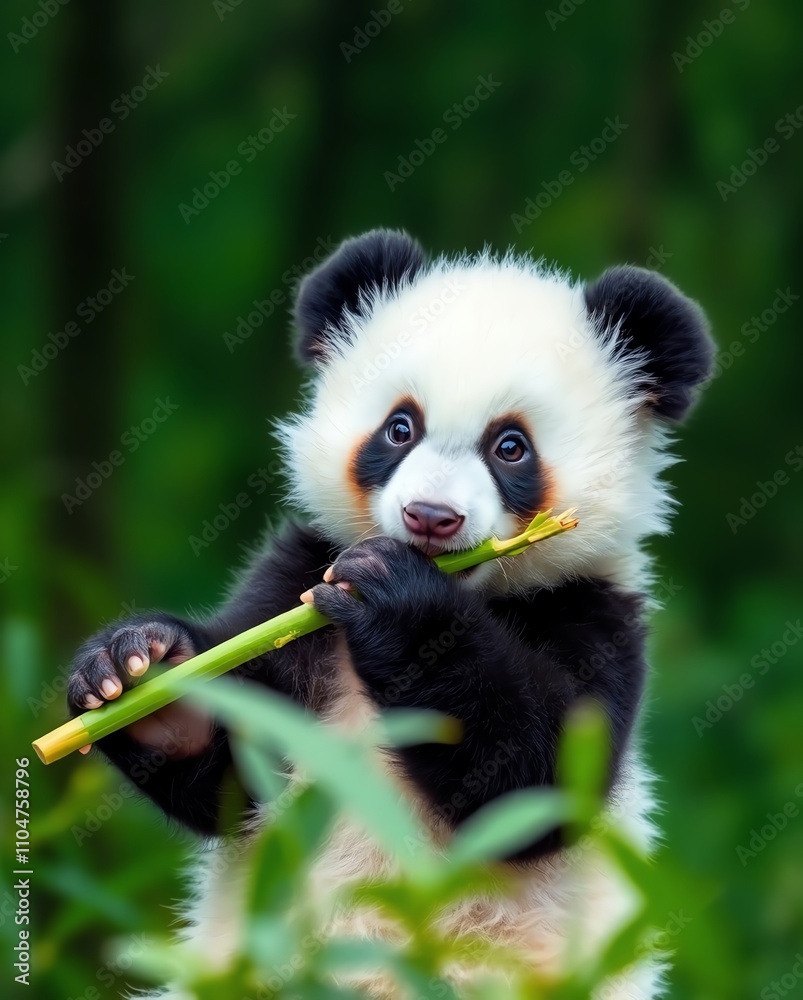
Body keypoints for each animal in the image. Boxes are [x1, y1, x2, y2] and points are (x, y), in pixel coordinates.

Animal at [67, 229, 714, 1000]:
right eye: (400, 427)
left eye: (510, 446)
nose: (430, 517)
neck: (473, 590)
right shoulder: (300, 578)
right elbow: (234, 775)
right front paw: (138, 670)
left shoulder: (592, 613)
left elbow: (535, 779)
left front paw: (397, 601)